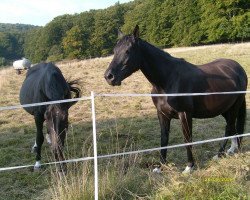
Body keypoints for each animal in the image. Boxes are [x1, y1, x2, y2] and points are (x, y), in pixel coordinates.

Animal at [104, 25, 247, 173]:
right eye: (115, 50)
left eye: (128, 50)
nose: (109, 77)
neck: (167, 81)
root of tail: (238, 68)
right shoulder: (162, 115)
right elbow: (164, 139)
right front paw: (160, 167)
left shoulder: (185, 114)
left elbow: (187, 139)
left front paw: (189, 167)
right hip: (225, 109)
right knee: (232, 126)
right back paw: (231, 149)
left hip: (234, 107)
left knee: (229, 127)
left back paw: (219, 154)